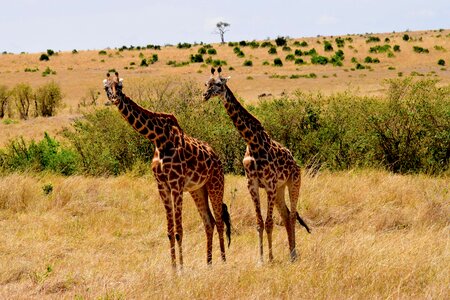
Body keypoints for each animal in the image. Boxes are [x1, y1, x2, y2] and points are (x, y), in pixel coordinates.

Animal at [105, 72, 232, 270]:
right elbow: (170, 231)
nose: (115, 98)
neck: (158, 138)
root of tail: (217, 158)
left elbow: (179, 231)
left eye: (119, 86)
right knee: (209, 222)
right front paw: (173, 268)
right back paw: (209, 263)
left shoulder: (176, 185)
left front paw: (181, 269)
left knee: (219, 221)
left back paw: (223, 262)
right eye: (106, 88)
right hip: (197, 189)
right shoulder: (162, 186)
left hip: (216, 183)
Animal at [203, 67, 312, 262]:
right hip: (280, 189)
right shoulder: (252, 184)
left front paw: (270, 258)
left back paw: (293, 254)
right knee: (285, 216)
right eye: (206, 83)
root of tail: (294, 161)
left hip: (294, 182)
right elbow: (259, 222)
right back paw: (291, 253)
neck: (252, 142)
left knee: (292, 216)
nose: (205, 94)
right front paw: (261, 259)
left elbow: (269, 223)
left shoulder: (269, 184)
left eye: (219, 84)